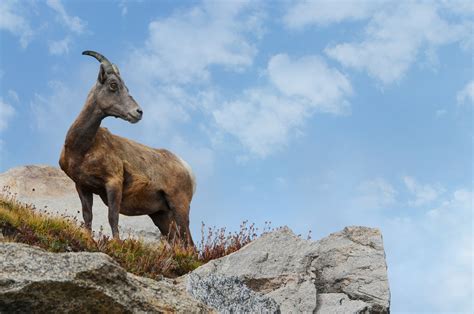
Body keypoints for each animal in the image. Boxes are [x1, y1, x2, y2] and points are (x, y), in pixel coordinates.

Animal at [59, 50, 196, 245]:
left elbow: (113, 216)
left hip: (179, 206)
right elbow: (88, 216)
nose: (138, 112)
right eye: (113, 85)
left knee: (189, 243)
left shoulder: (113, 182)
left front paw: (116, 243)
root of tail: (186, 167)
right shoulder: (82, 186)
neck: (82, 149)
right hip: (161, 215)